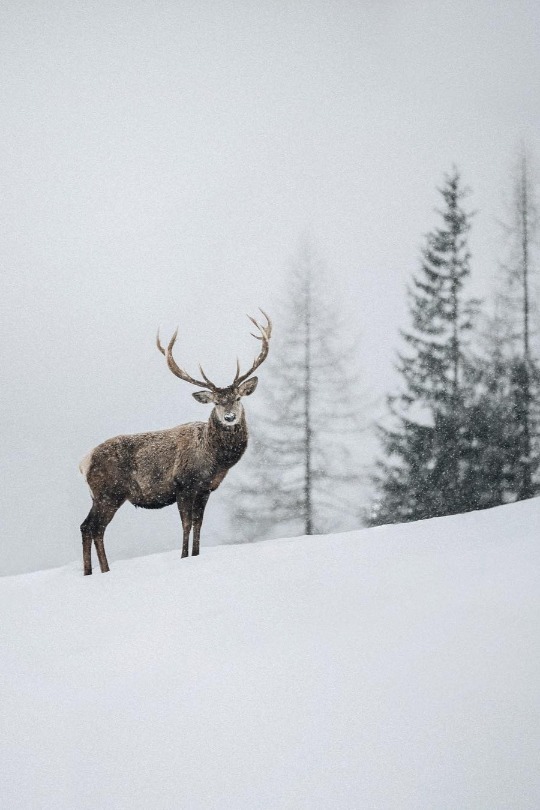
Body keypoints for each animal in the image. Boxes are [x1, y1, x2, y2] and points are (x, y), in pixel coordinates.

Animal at [78, 310, 272, 576]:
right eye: (216, 402)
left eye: (238, 398)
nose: (230, 417)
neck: (214, 460)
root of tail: (83, 462)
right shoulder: (183, 485)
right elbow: (186, 524)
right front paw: (183, 557)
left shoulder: (205, 489)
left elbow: (199, 524)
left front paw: (196, 555)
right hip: (108, 492)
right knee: (92, 527)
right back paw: (97, 572)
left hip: (102, 495)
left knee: (90, 527)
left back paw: (98, 571)